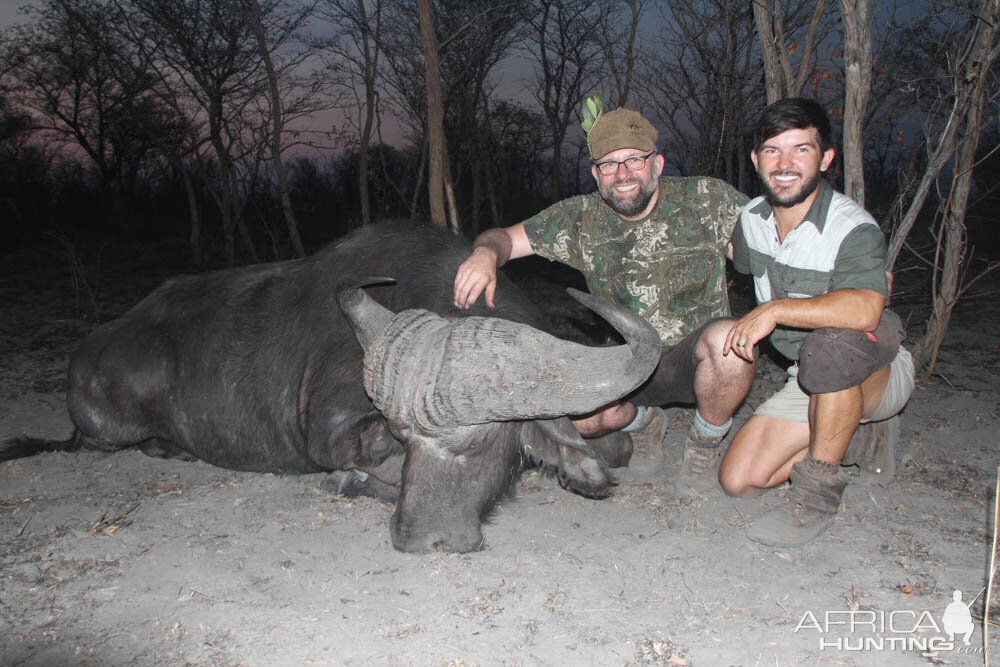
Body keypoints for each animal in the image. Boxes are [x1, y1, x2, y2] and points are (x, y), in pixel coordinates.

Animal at [9, 223, 664, 552]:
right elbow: (354, 460)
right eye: (406, 436)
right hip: (112, 423)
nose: (416, 539)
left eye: (478, 443)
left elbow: (616, 445)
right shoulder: (331, 432)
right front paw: (352, 482)